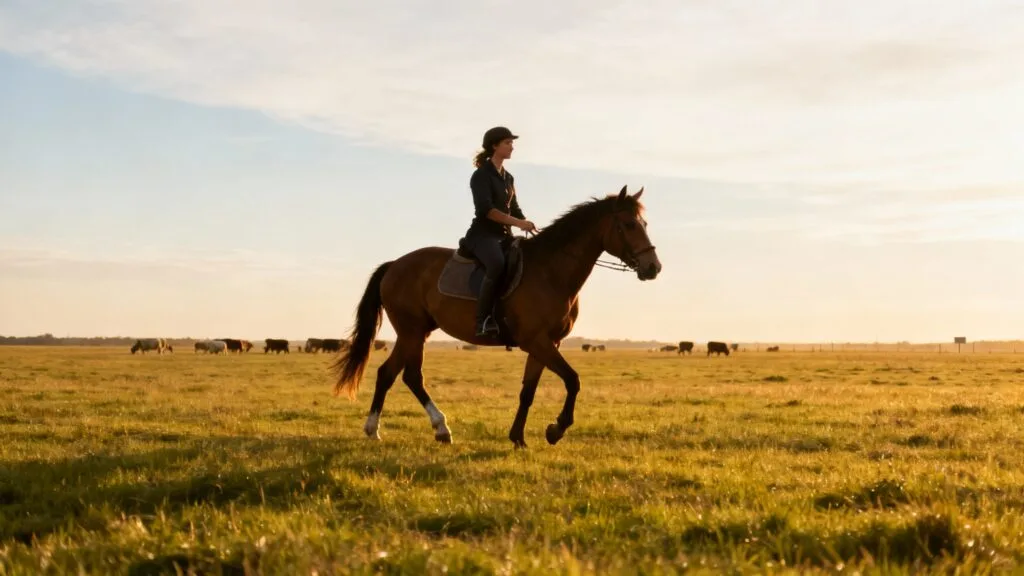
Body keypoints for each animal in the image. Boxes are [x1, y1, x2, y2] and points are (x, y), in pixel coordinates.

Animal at [330, 186, 660, 448]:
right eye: (629, 225)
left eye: (644, 223)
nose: (653, 267)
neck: (551, 271)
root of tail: (395, 264)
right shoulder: (537, 341)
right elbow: (572, 380)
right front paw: (555, 430)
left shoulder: (545, 344)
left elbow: (528, 392)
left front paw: (518, 437)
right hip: (411, 331)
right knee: (403, 375)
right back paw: (420, 428)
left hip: (416, 332)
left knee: (396, 374)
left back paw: (405, 429)